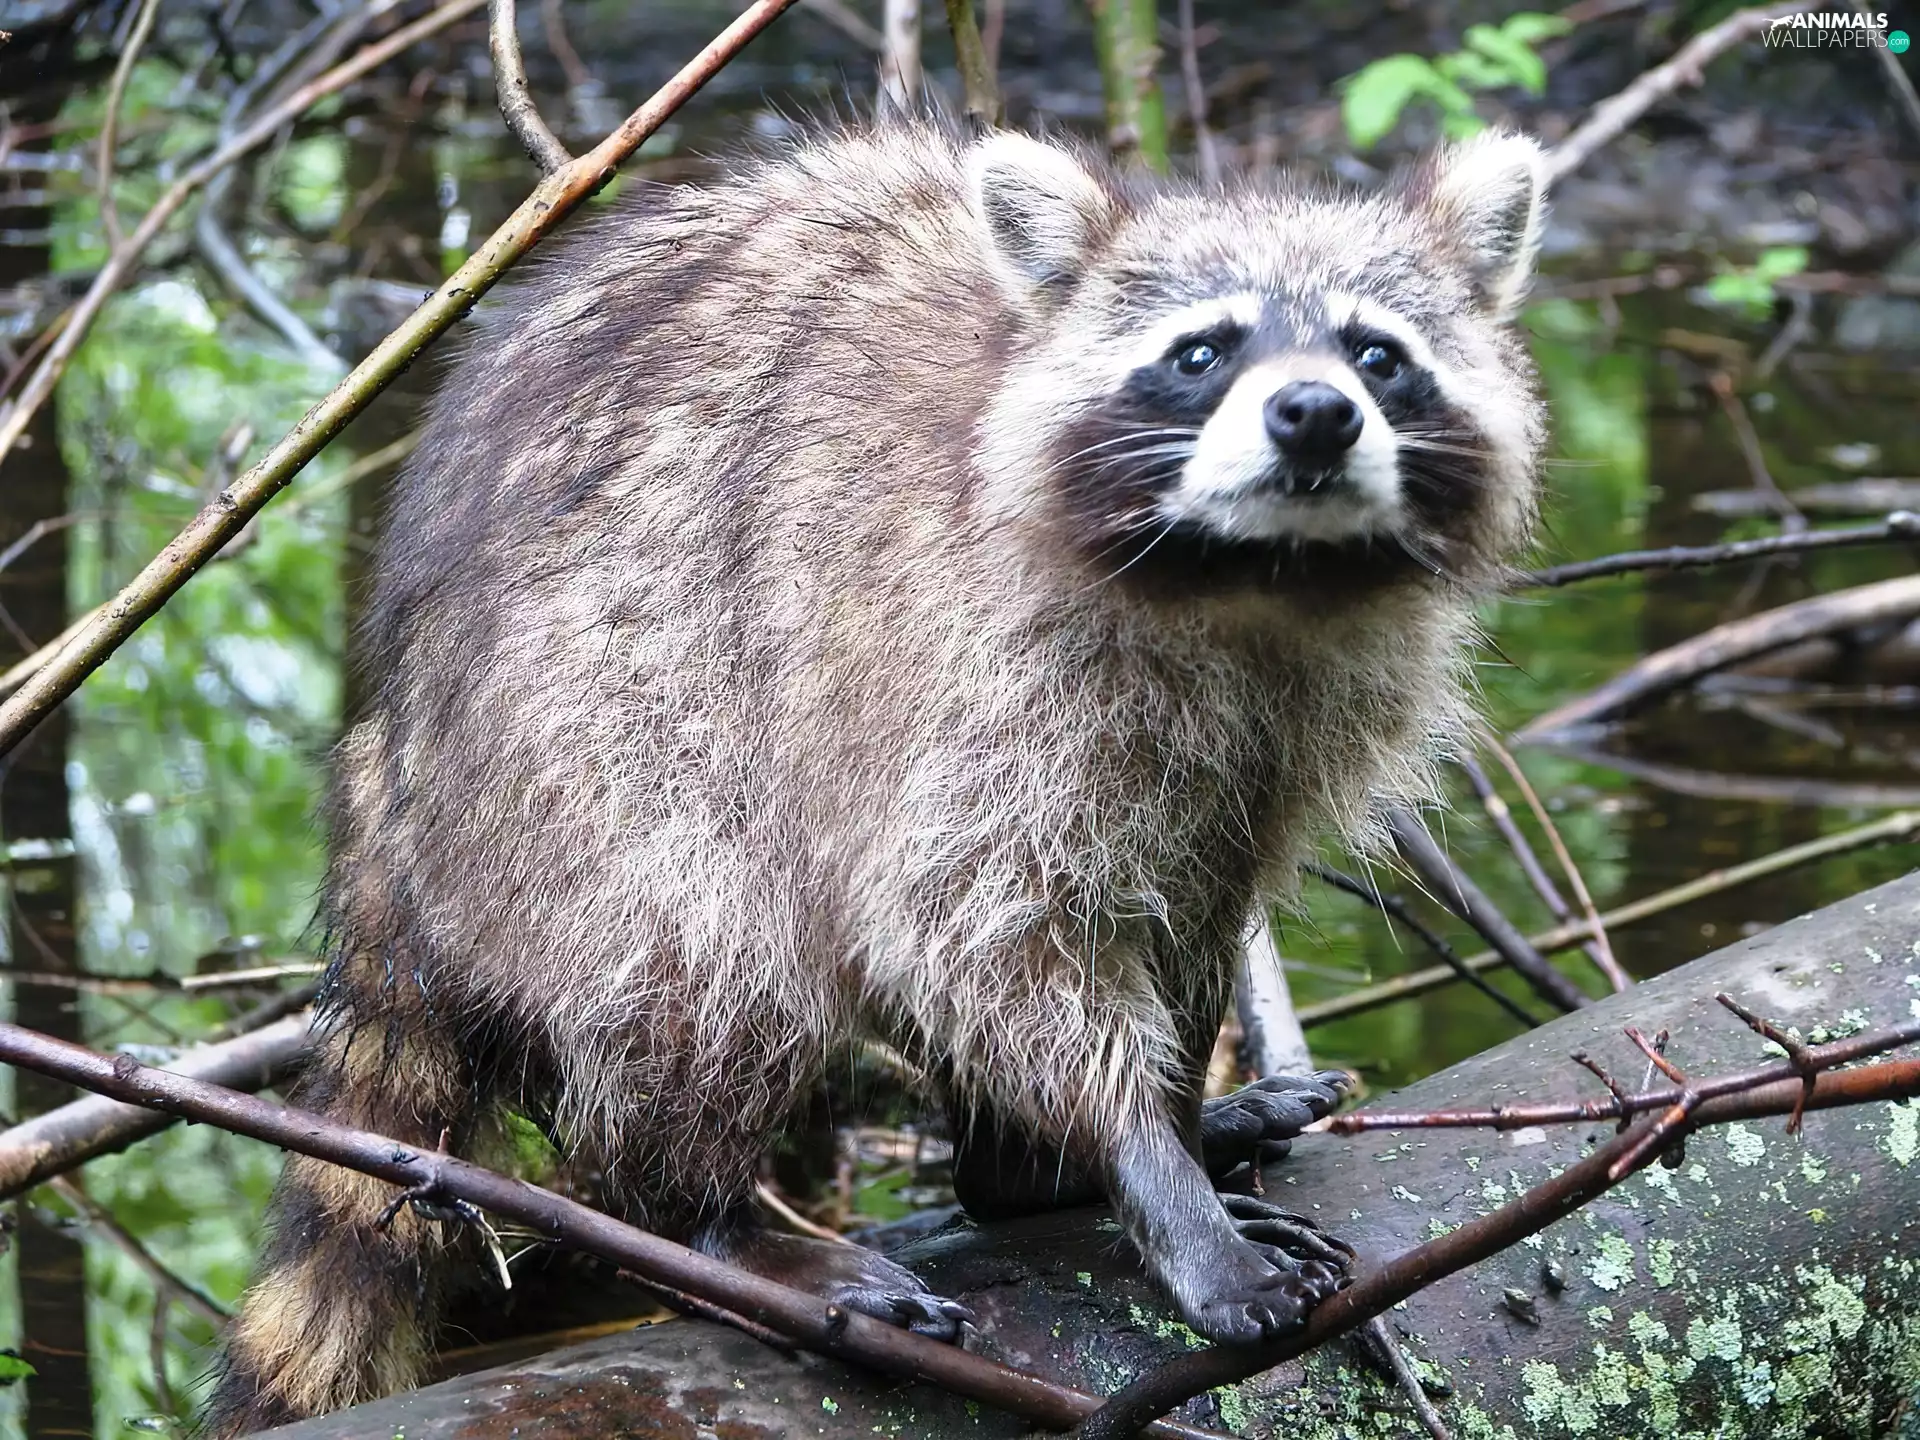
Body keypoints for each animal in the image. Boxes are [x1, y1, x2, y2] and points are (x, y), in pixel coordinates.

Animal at [208, 120, 1546, 1432]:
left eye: (1377, 354)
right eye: (1203, 351)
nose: (1314, 412)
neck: (1251, 579)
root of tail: (397, 740)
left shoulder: (1287, 730)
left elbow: (1193, 906)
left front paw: (1155, 1124)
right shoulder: (962, 671)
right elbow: (974, 927)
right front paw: (1149, 1170)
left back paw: (1016, 1175)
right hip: (583, 745)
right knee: (703, 959)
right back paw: (698, 1215)